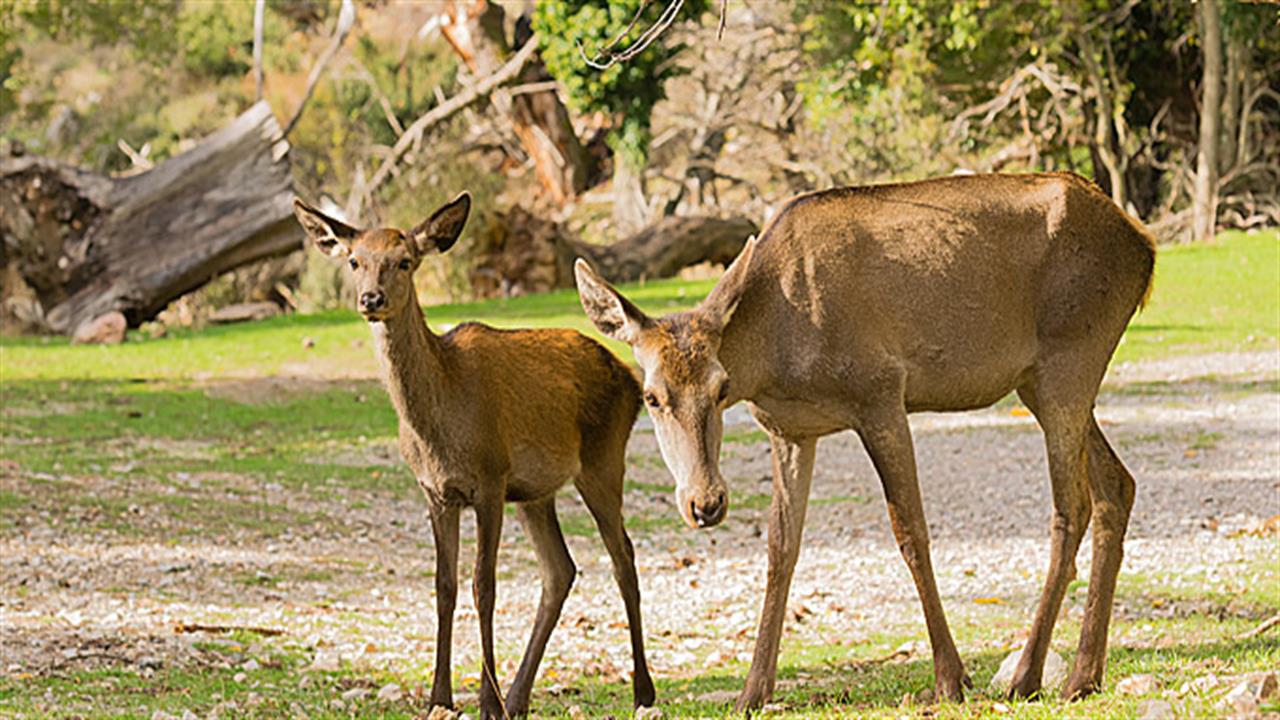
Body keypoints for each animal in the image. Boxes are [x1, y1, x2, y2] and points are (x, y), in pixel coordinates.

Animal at [293, 194, 655, 717]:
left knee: (623, 558)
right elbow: (444, 587)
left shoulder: (489, 480)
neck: (438, 430)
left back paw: (642, 690)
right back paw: (520, 697)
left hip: (603, 461)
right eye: (354, 261)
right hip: (535, 493)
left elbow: (485, 585)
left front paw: (486, 700)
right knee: (560, 569)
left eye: (404, 261)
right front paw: (439, 697)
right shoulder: (436, 493)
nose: (371, 299)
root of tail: (630, 377)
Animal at [576, 172, 1157, 707]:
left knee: (1072, 505)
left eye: (721, 388)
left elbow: (911, 532)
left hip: (1070, 356)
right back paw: (1084, 676)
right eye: (651, 395)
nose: (706, 502)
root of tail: (1145, 248)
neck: (773, 360)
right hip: (1038, 381)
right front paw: (752, 692)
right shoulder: (790, 429)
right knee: (1117, 485)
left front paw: (951, 679)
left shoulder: (880, 393)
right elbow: (781, 547)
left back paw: (1026, 675)